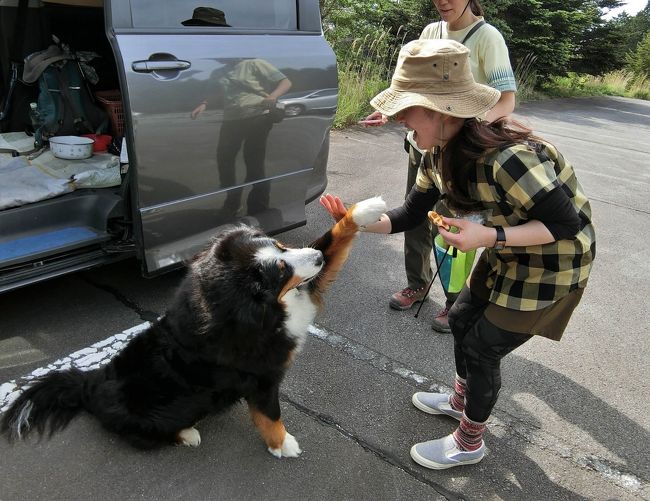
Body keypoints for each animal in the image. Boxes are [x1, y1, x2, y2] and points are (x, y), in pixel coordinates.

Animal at [1, 195, 384, 458]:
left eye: (281, 247)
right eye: (279, 271)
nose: (315, 260)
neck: (261, 308)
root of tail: (89, 383)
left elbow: (333, 239)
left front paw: (364, 210)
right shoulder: (262, 376)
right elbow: (270, 414)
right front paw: (283, 445)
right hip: (143, 414)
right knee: (143, 436)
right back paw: (187, 434)